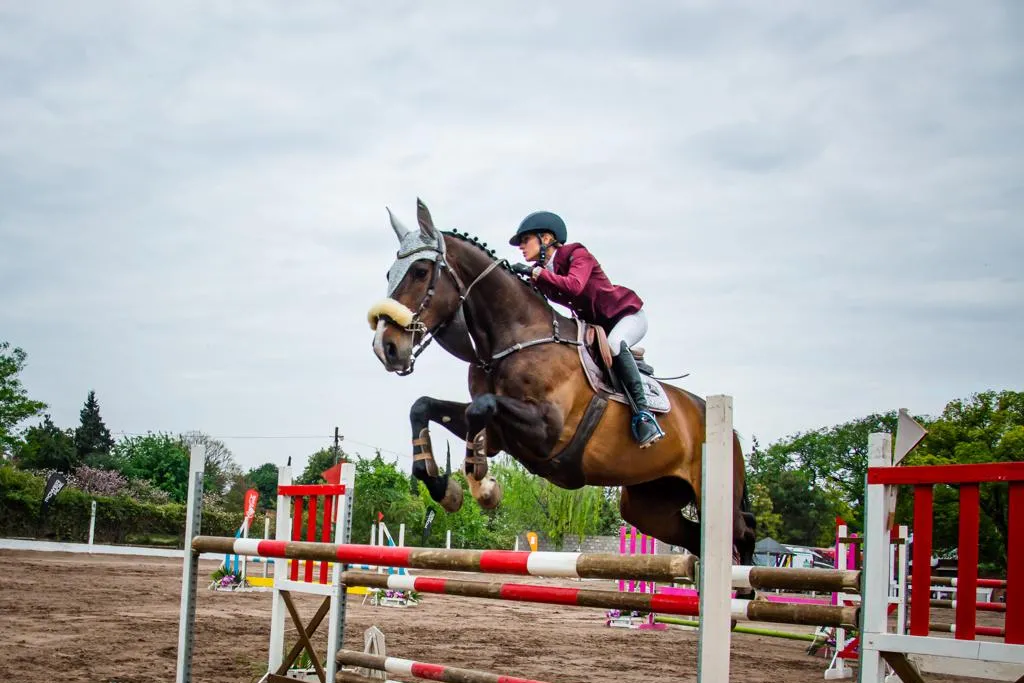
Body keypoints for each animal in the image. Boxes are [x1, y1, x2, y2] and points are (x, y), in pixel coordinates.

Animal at [368, 198, 761, 573]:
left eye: (420, 272)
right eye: (389, 273)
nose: (385, 348)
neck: (514, 338)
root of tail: (728, 428)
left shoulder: (547, 430)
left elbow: (483, 408)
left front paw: (483, 486)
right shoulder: (500, 435)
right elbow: (423, 406)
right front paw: (445, 487)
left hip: (713, 495)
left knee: (743, 532)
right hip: (649, 505)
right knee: (694, 537)